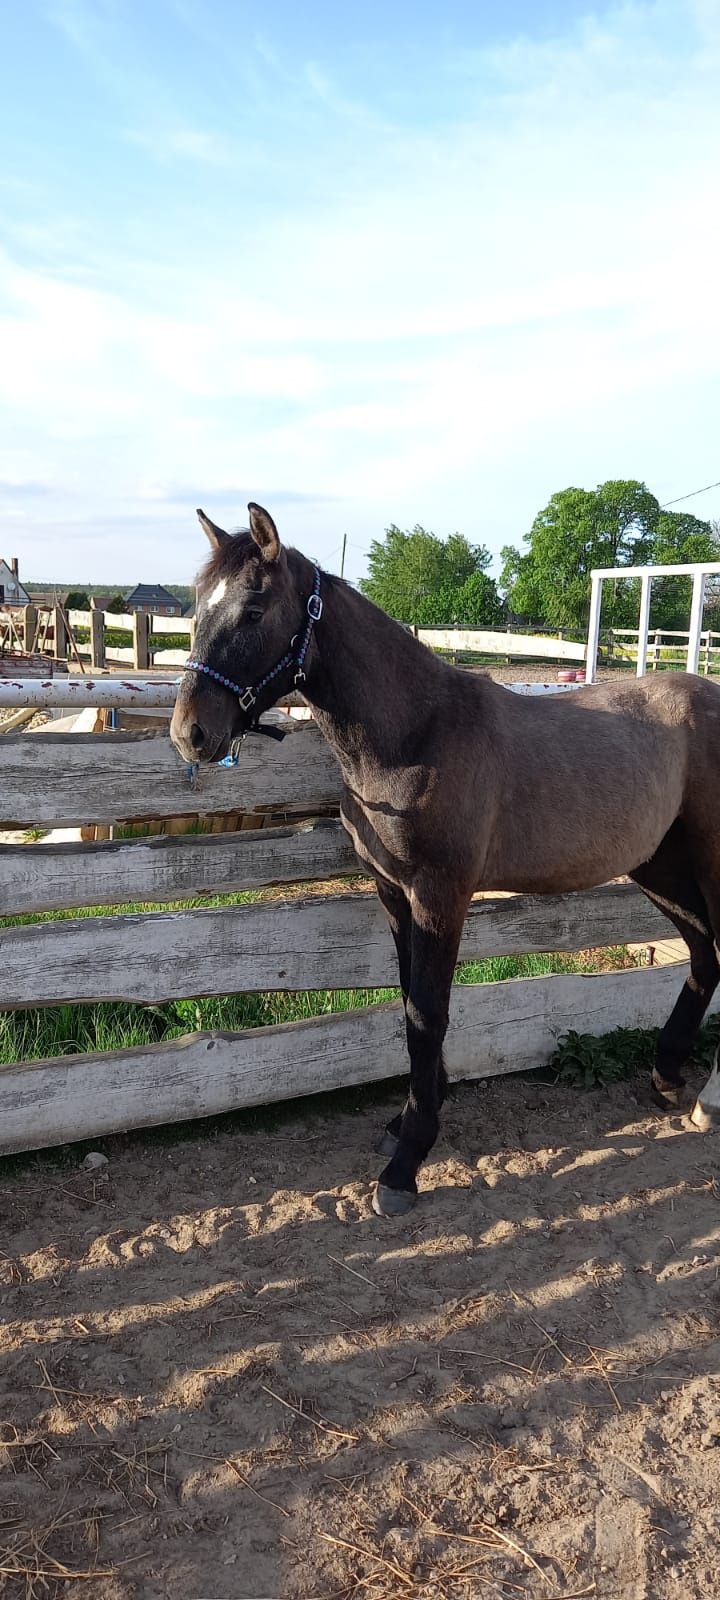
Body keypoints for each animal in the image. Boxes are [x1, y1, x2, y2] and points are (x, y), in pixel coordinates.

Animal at [171, 499, 720, 1209]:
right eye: (198, 605)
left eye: (256, 609)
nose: (191, 733)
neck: (415, 735)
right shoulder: (394, 893)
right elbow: (410, 1003)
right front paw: (406, 1122)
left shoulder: (441, 896)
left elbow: (428, 1013)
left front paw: (406, 1162)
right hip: (660, 867)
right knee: (705, 956)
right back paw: (665, 1076)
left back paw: (708, 1100)